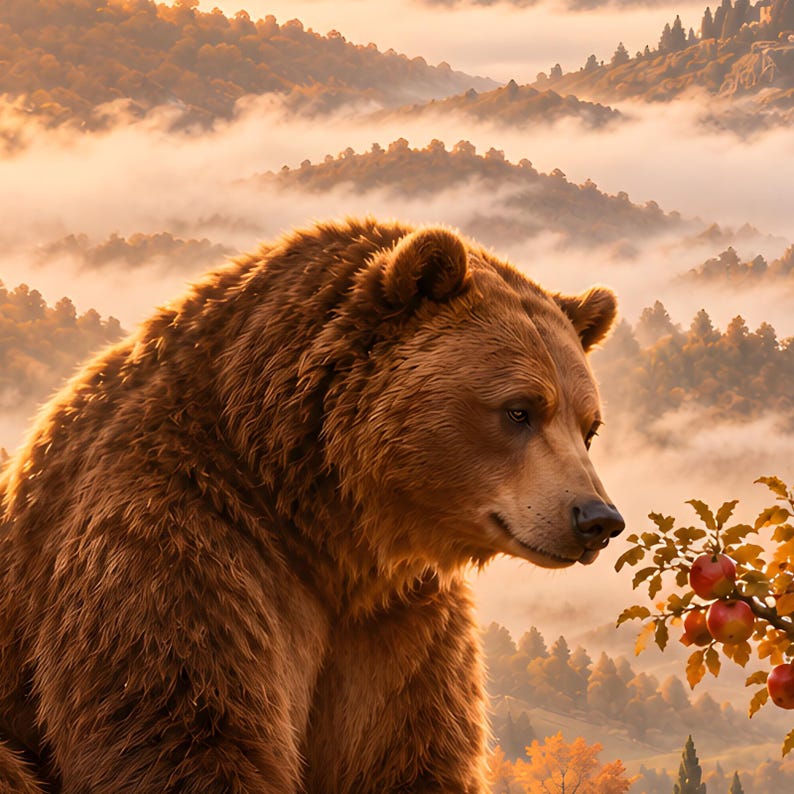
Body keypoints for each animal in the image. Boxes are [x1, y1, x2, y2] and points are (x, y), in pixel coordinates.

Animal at [0, 217, 624, 793]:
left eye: (589, 426)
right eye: (520, 409)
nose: (597, 519)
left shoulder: (399, 623)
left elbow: (406, 749)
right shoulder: (174, 548)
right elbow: (187, 732)